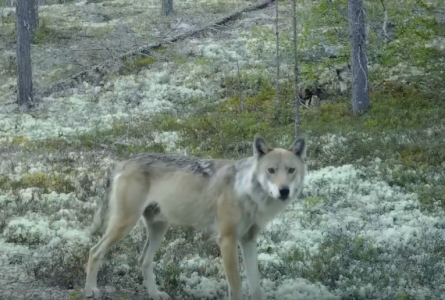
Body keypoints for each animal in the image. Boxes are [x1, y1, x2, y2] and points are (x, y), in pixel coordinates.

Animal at [84, 135, 306, 300]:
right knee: (94, 252)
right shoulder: (227, 240)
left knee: (143, 260)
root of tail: (124, 162)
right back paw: (91, 290)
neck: (248, 193)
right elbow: (236, 286)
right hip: (124, 225)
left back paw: (155, 294)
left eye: (291, 170)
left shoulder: (248, 241)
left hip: (159, 229)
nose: (283, 191)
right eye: (271, 170)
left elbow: (256, 287)